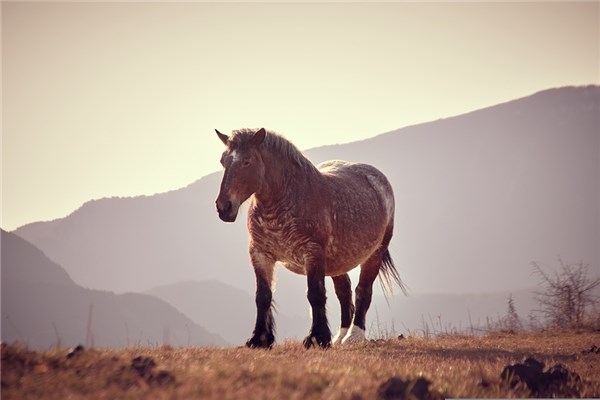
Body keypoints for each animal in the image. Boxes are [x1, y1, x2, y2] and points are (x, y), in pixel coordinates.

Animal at [213, 127, 406, 346]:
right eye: (223, 161)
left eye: (247, 161)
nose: (223, 207)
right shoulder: (260, 253)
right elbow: (263, 296)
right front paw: (259, 338)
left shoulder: (312, 252)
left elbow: (315, 294)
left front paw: (317, 338)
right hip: (337, 261)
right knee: (344, 292)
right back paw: (340, 336)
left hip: (374, 254)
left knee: (362, 291)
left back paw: (353, 336)